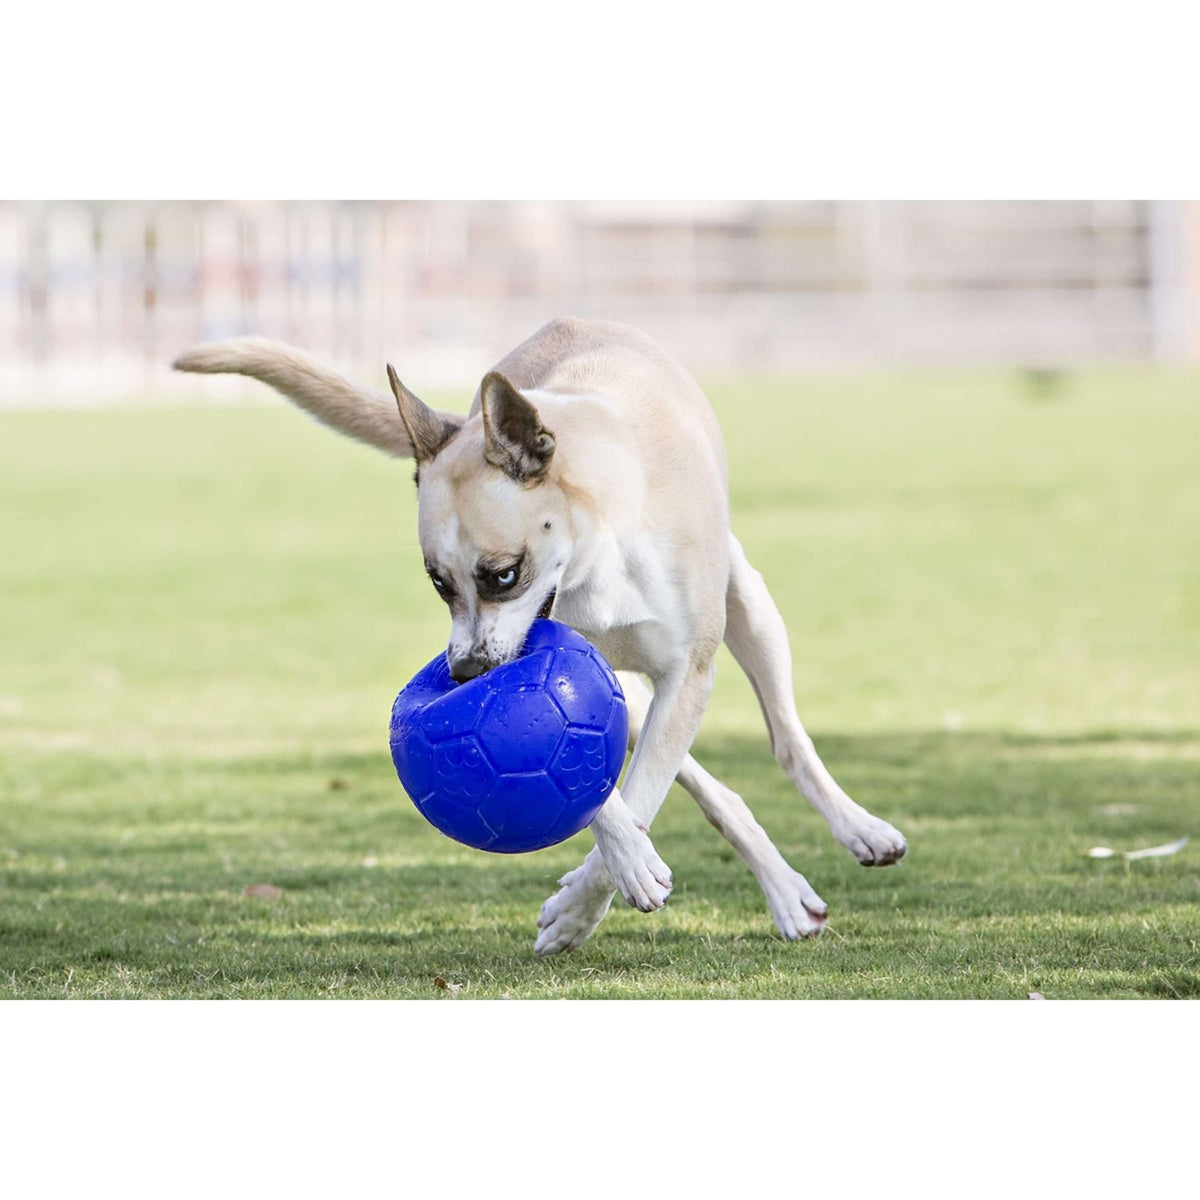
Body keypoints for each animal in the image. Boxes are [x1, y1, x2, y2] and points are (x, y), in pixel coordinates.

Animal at [174, 319, 902, 955]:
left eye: (503, 574)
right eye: (437, 583)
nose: (465, 675)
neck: (597, 548)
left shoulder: (687, 671)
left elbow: (640, 787)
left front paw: (584, 901)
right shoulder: (597, 675)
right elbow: (603, 793)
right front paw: (607, 881)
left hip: (748, 603)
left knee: (786, 739)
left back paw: (852, 834)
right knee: (707, 788)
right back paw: (780, 886)